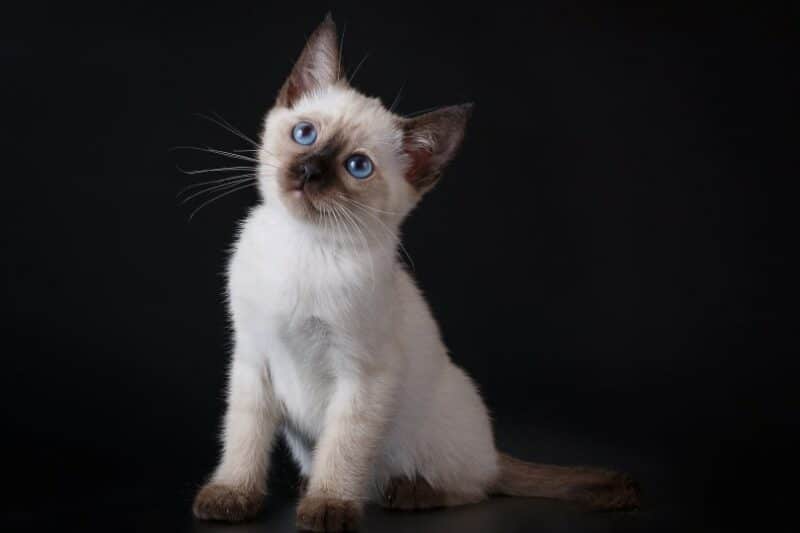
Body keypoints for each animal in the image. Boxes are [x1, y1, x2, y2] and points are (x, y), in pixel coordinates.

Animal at [191, 13, 640, 532]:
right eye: (305, 134)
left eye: (357, 166)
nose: (309, 171)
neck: (304, 247)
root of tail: (494, 450)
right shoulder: (252, 359)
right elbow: (242, 440)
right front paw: (232, 497)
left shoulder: (364, 376)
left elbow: (341, 448)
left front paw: (329, 507)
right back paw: (312, 485)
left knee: (473, 486)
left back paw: (409, 493)